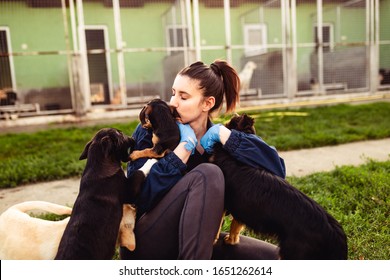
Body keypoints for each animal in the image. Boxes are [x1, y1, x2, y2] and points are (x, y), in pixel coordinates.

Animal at [212, 114, 348, 260]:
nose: (235, 113)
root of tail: (336, 234)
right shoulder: (240, 208)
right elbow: (235, 226)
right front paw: (231, 241)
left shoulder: (225, 203)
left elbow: (217, 225)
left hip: (293, 254)